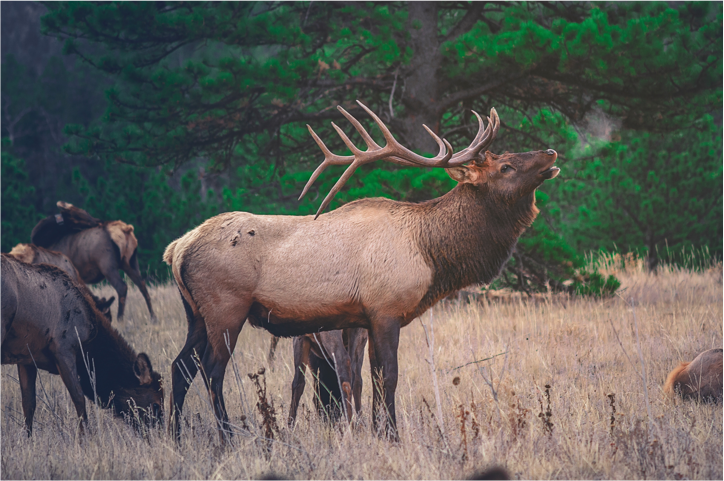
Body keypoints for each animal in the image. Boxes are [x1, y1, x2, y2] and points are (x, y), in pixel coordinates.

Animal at [0, 253, 164, 434]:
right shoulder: (63, 349)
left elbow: (28, 404)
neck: (91, 342)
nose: (160, 434)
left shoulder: (26, 357)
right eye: (156, 404)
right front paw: (85, 437)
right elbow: (79, 399)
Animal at [164, 101, 560, 438]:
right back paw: (227, 436)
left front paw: (376, 432)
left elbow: (370, 379)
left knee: (179, 367)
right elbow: (390, 377)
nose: (551, 153)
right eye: (505, 166)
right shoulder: (386, 309)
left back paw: (175, 435)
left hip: (195, 313)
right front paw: (393, 436)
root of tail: (177, 249)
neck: (430, 252)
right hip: (226, 308)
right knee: (211, 371)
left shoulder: (364, 318)